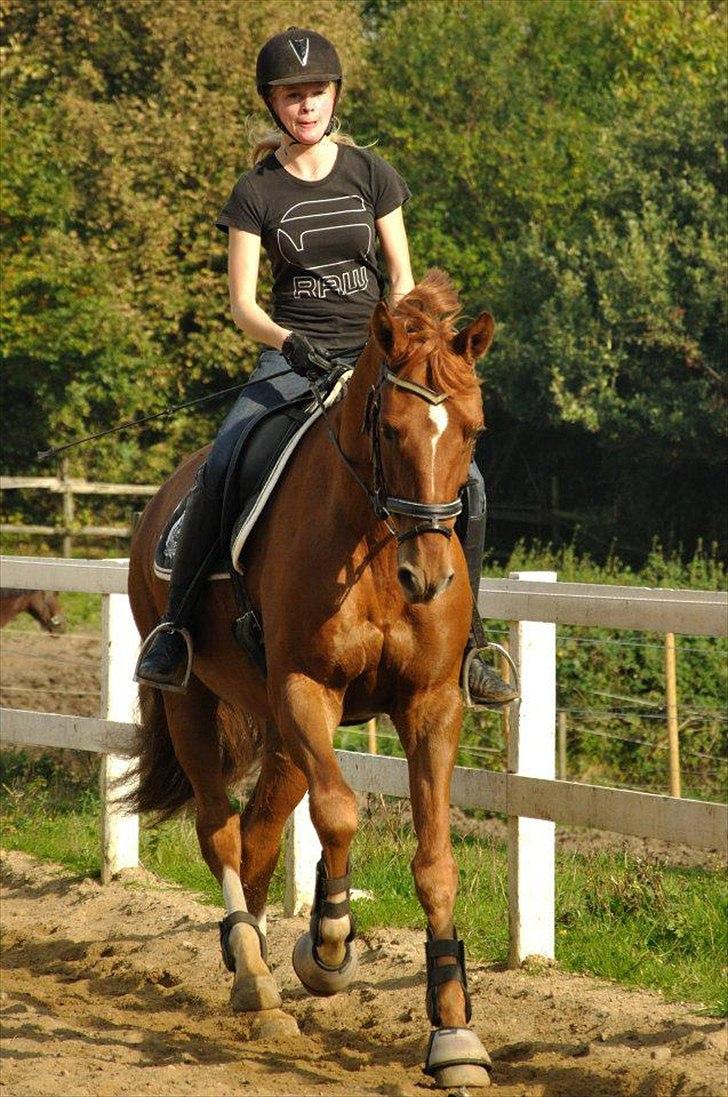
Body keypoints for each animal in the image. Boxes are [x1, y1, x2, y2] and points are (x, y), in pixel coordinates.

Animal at [127, 272, 497, 1088]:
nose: (430, 577)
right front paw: (328, 946)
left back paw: (255, 957)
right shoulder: (306, 689)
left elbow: (436, 862)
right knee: (222, 830)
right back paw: (256, 980)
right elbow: (340, 813)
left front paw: (454, 1032)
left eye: (472, 432)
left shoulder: (431, 706)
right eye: (389, 431)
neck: (374, 548)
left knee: (262, 831)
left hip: (279, 729)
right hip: (195, 703)